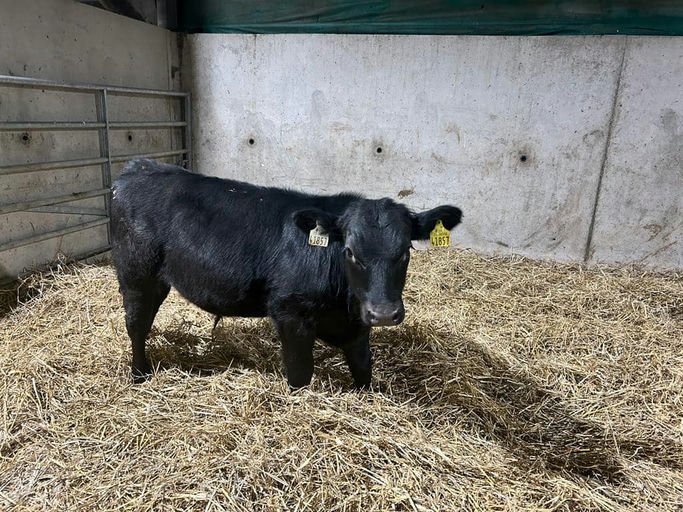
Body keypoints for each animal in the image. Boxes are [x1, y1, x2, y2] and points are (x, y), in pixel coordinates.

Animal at [110, 159, 462, 389]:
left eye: (405, 251)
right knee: (136, 326)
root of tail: (138, 167)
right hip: (136, 275)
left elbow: (363, 368)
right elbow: (299, 374)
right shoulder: (290, 314)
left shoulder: (357, 322)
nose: (385, 314)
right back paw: (139, 374)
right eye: (350, 251)